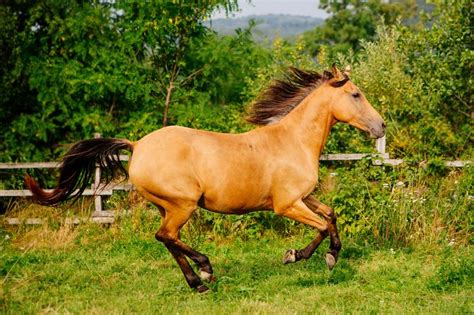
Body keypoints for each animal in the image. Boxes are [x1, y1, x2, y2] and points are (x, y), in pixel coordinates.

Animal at [25, 65, 386, 294]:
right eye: (355, 94)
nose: (381, 126)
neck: (293, 141)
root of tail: (137, 145)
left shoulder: (303, 197)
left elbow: (330, 215)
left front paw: (332, 254)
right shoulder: (286, 205)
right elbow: (322, 226)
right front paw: (298, 256)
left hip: (168, 206)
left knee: (167, 239)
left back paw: (198, 282)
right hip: (182, 204)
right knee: (165, 236)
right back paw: (205, 269)